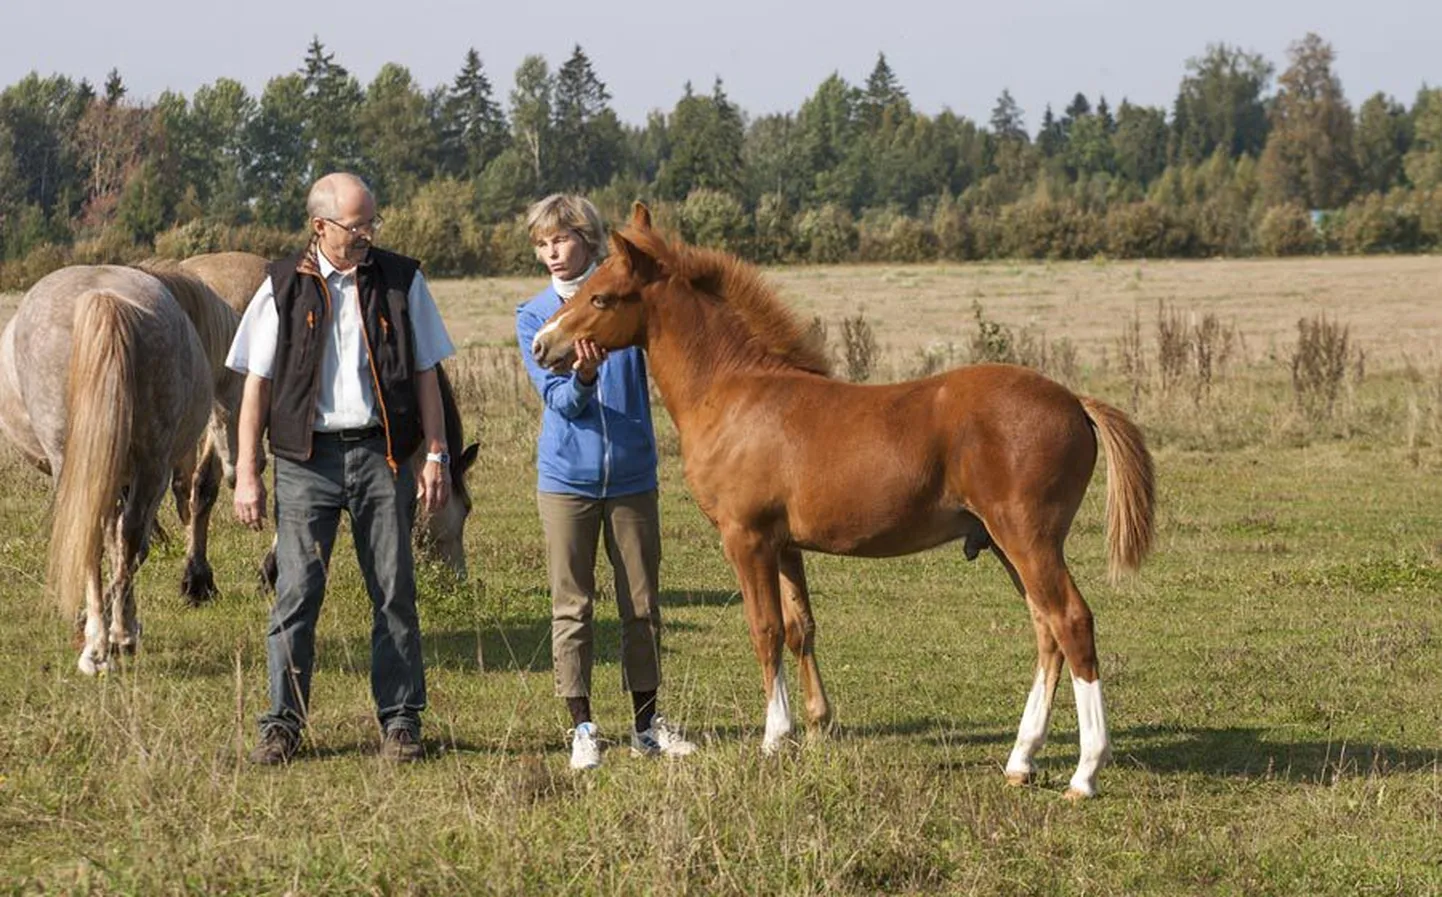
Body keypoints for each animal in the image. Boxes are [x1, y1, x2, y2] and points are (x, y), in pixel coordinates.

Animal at [0, 266, 216, 674]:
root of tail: (104, 297)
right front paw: (123, 628)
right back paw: (112, 637)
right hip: (150, 463)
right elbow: (126, 543)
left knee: (93, 538)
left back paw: (98, 645)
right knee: (125, 535)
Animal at [536, 209, 1153, 801]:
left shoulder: (746, 537)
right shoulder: (784, 545)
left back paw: (1085, 773)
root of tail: (1074, 400)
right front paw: (816, 728)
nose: (543, 345)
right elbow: (799, 627)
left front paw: (774, 738)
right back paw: (1021, 761)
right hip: (1007, 544)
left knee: (1071, 622)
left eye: (601, 297)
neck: (733, 392)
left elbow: (764, 629)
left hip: (1027, 538)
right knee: (1046, 631)